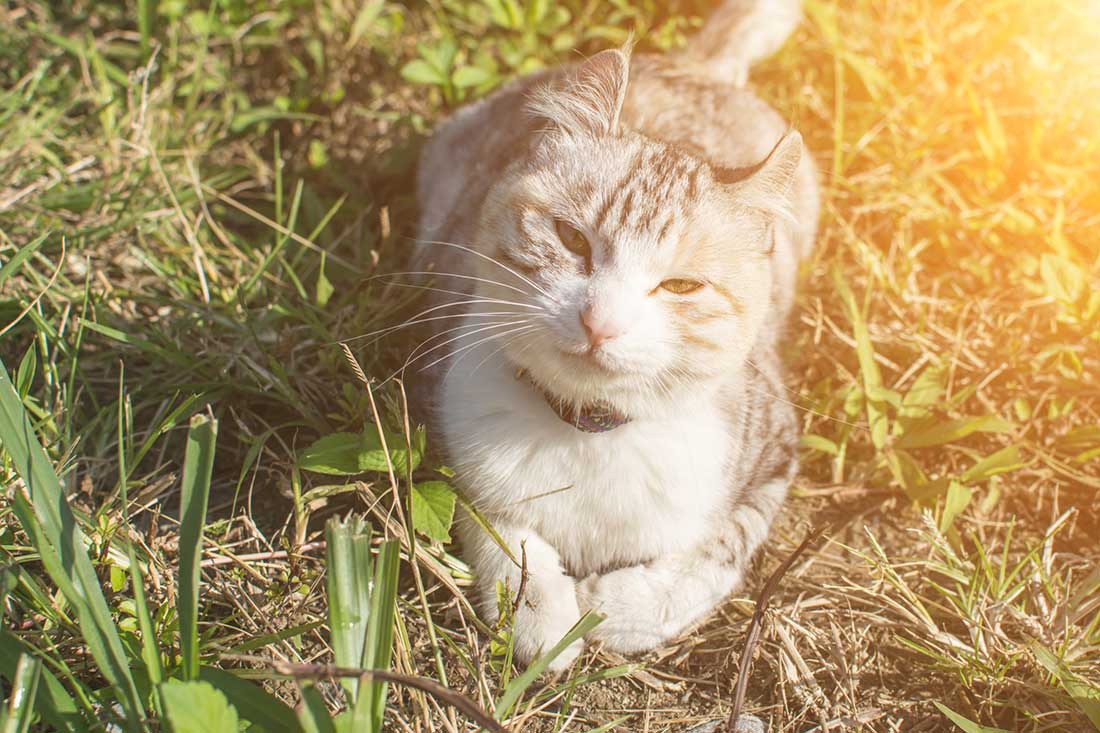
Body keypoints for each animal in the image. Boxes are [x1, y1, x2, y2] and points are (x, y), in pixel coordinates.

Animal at [411, 0, 818, 669]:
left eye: (681, 285)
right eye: (571, 238)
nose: (600, 321)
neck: (588, 432)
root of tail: (694, 66)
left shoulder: (773, 452)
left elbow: (722, 548)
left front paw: (617, 608)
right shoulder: (441, 405)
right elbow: (490, 518)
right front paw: (537, 609)